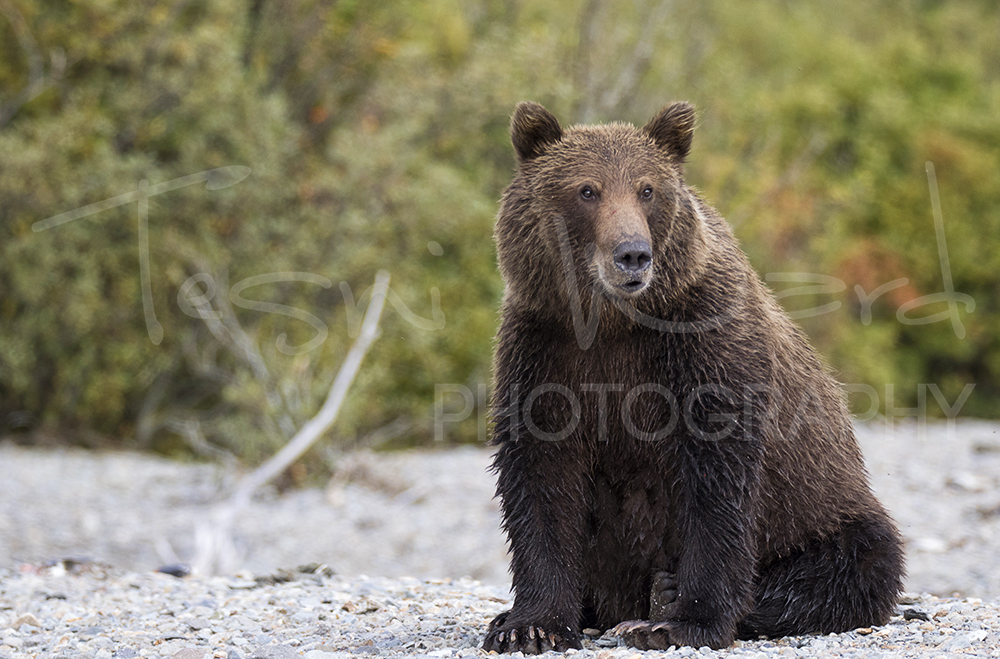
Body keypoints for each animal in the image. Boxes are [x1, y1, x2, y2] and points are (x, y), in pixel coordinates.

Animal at [482, 101, 905, 653]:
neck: (613, 322)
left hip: (824, 509)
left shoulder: (703, 343)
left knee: (856, 564)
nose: (633, 254)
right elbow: (541, 477)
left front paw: (679, 620)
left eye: (647, 189)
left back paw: (662, 597)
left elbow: (716, 483)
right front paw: (530, 625)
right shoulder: (545, 351)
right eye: (587, 189)